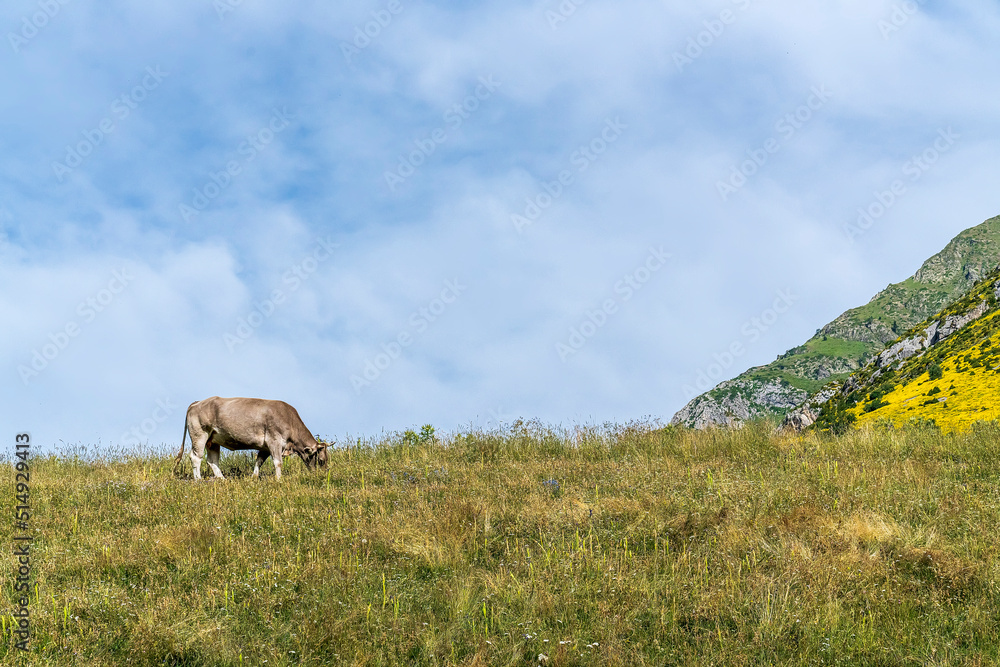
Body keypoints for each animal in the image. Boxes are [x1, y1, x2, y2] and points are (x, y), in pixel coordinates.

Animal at [173, 396, 328, 480]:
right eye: (321, 460)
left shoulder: (265, 447)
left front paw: (254, 477)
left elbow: (259, 461)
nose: (322, 475)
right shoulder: (274, 441)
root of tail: (198, 402)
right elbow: (278, 462)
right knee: (195, 457)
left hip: (212, 440)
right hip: (200, 434)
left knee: (212, 460)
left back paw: (222, 479)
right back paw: (198, 479)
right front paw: (279, 479)